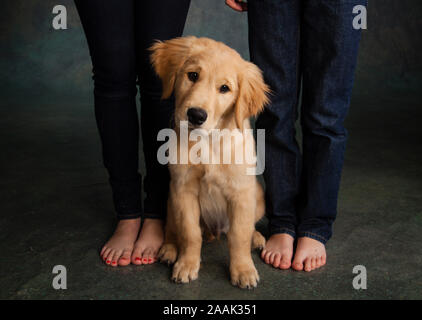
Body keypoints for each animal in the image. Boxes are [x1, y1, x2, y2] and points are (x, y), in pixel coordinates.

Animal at [151, 36, 270, 288]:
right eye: (193, 75)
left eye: (224, 88)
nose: (196, 115)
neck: (209, 142)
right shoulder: (183, 190)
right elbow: (189, 233)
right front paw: (187, 264)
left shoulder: (242, 193)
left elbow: (239, 235)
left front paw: (243, 269)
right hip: (171, 199)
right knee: (172, 228)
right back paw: (169, 249)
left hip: (258, 197)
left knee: (246, 228)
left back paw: (256, 238)